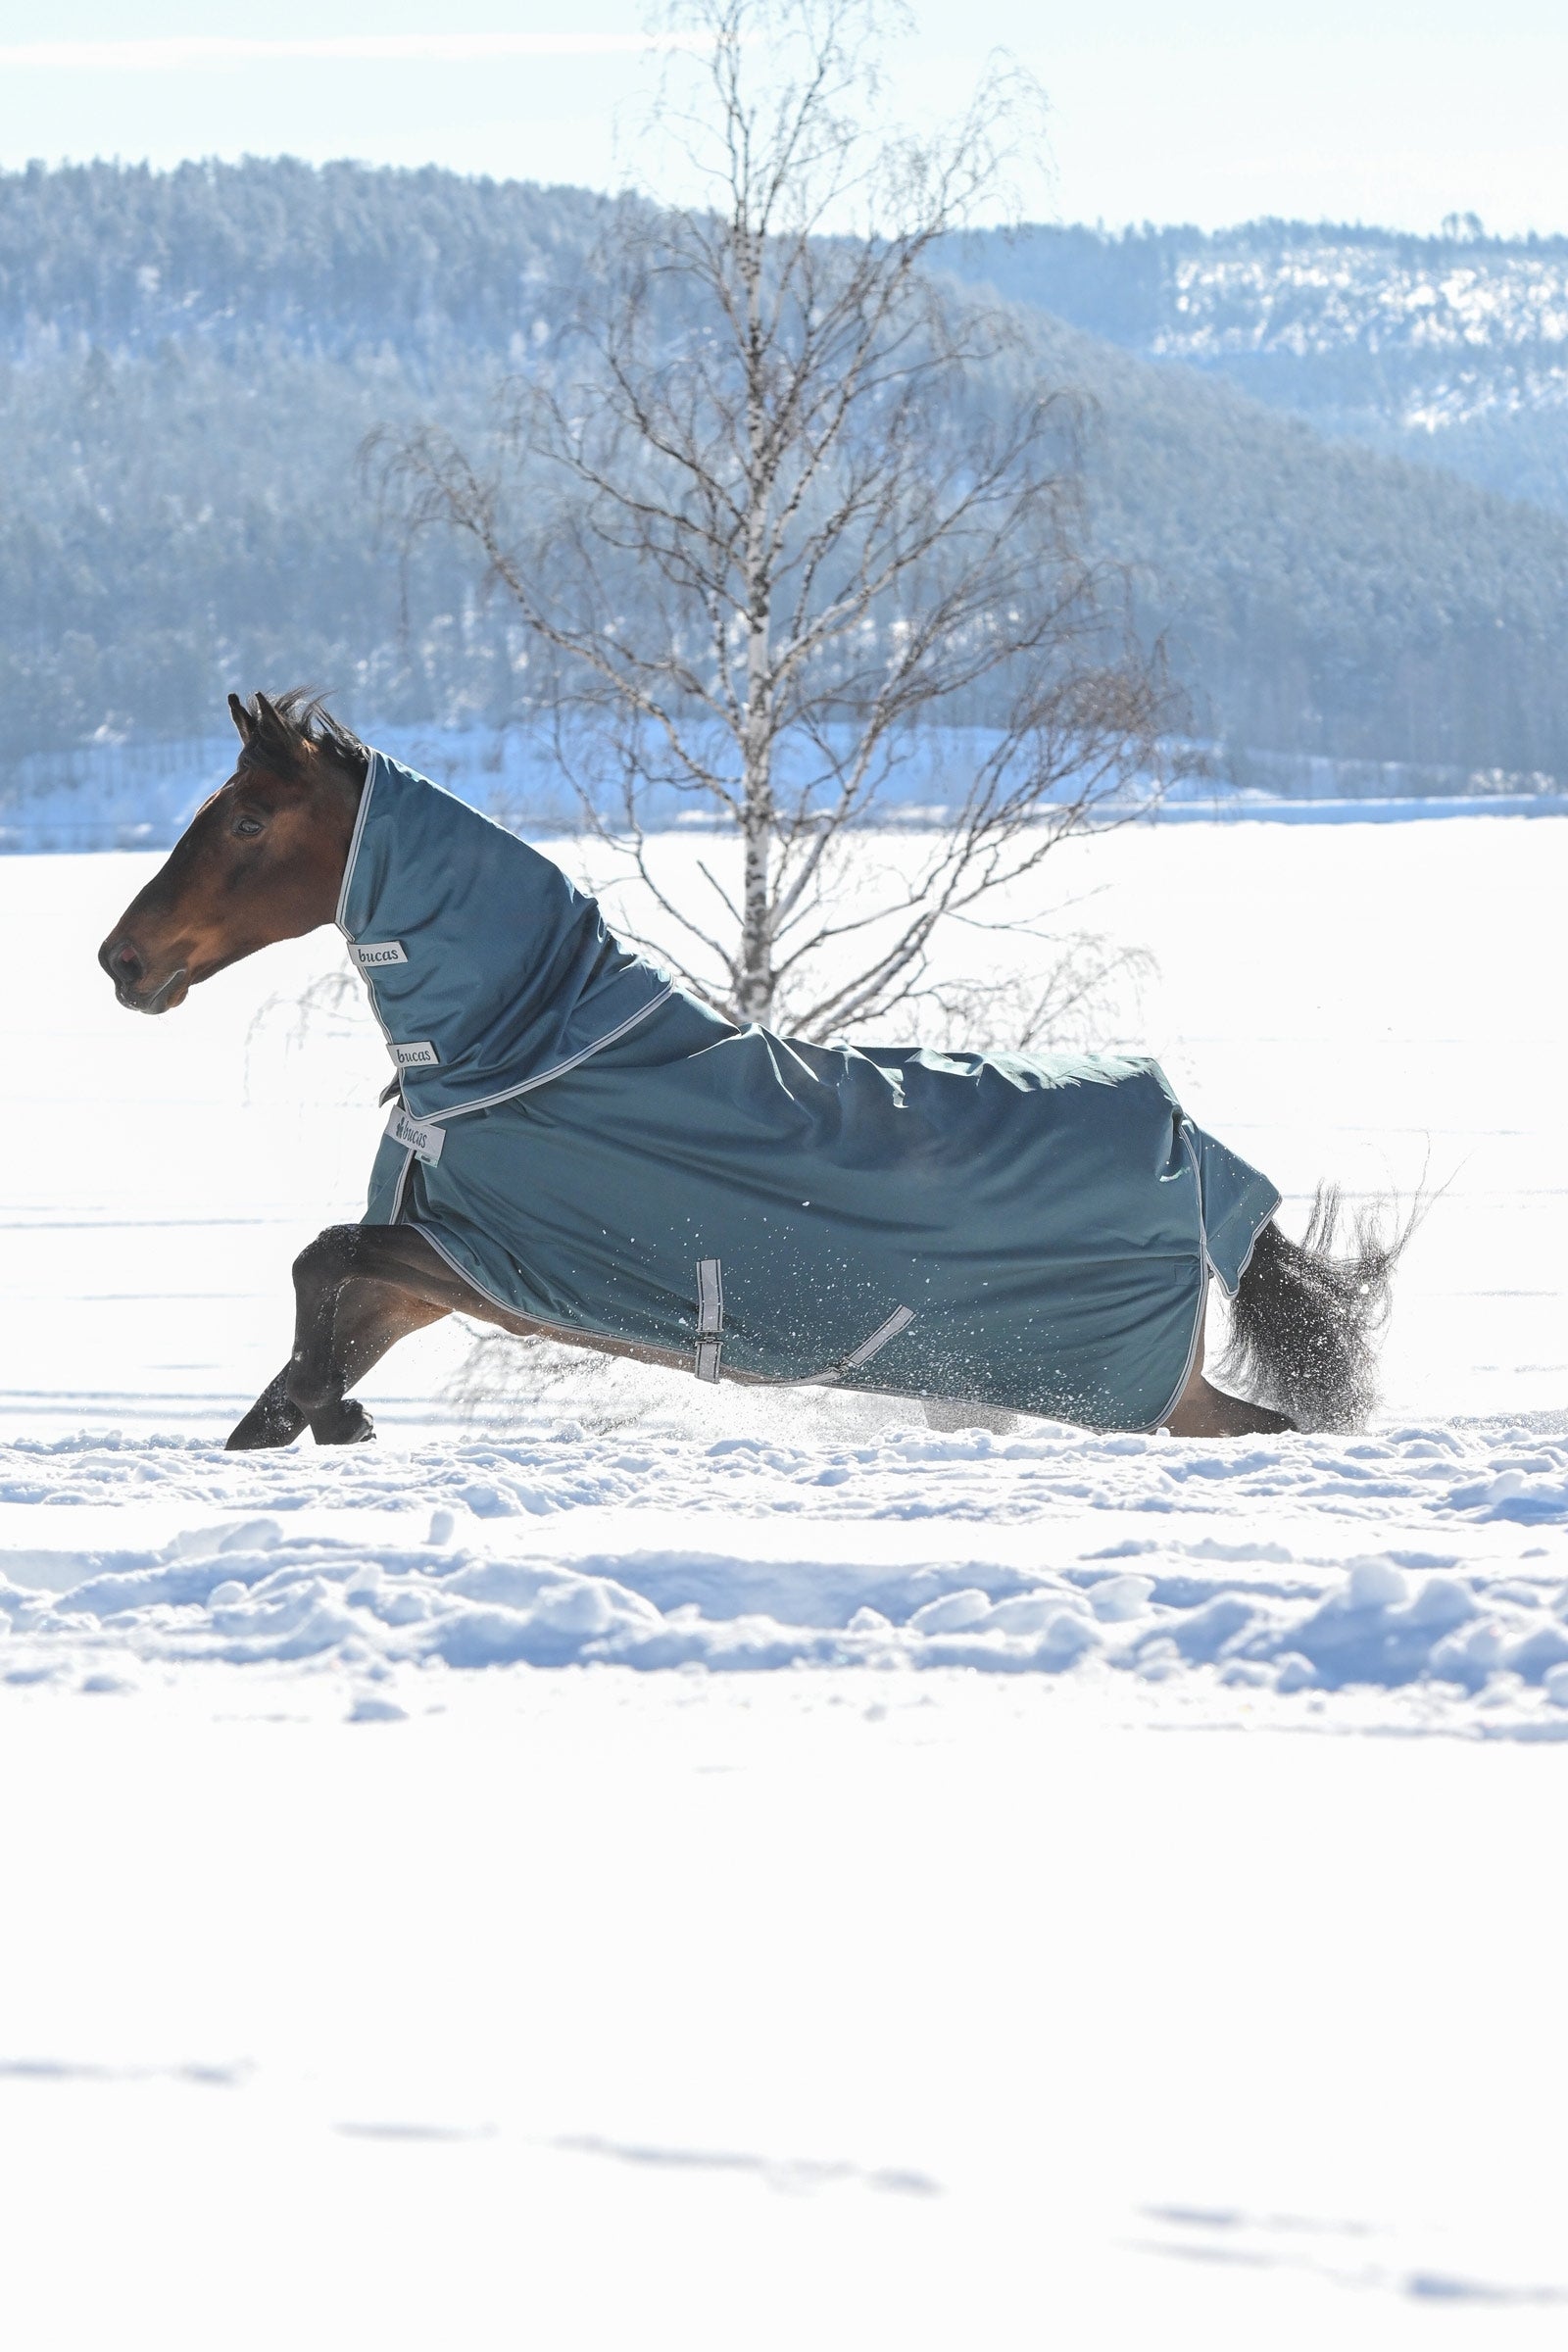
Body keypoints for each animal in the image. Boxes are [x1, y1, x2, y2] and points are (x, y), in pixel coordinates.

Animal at [99, 690, 1402, 1450]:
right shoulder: (439, 1271)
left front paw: (334, 1416)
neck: (523, 1051)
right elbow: (315, 1308)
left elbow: (320, 1255)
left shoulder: (501, 1265)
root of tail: (1198, 1150)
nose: (123, 961)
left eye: (247, 822)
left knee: (1260, 1427)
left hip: (1147, 1392)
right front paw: (305, 1416)